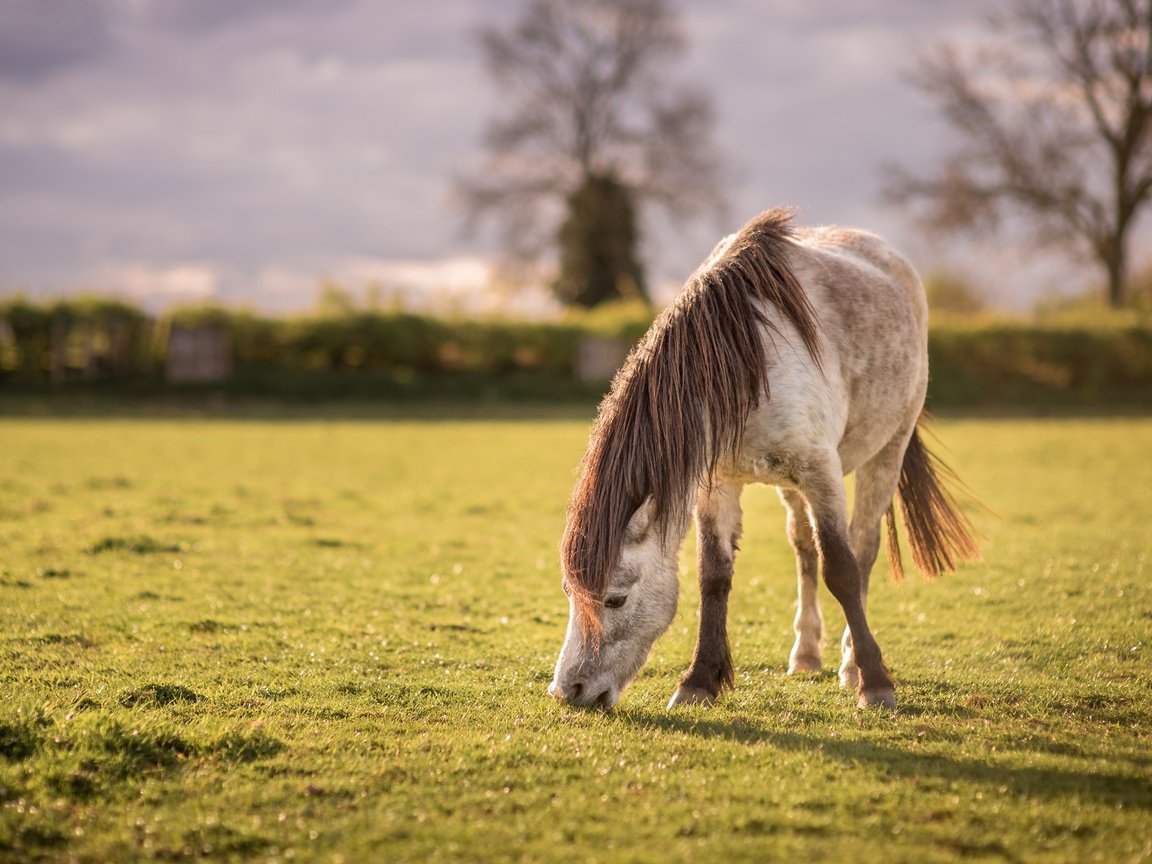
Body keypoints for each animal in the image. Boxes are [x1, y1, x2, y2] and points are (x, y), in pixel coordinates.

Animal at [543, 208, 976, 709]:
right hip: (790, 487)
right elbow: (714, 576)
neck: (745, 367)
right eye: (570, 592)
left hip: (886, 451)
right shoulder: (716, 483)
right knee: (804, 549)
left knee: (863, 549)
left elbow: (842, 569)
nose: (569, 690)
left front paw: (875, 683)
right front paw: (698, 682)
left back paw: (851, 663)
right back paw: (806, 654)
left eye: (615, 599)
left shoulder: (821, 473)